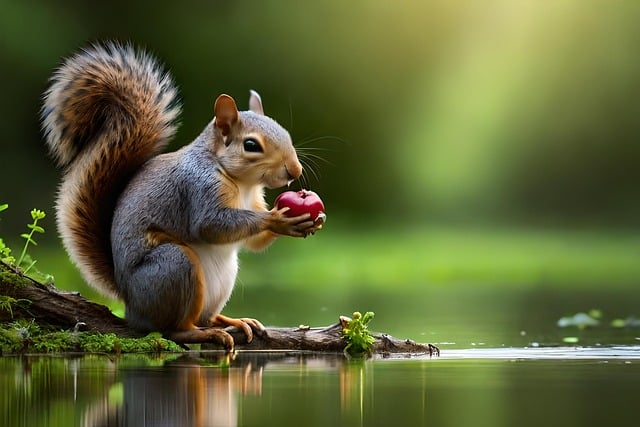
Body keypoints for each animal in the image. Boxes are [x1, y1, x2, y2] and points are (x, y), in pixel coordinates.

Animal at [42, 42, 322, 352]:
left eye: (284, 131)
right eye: (251, 145)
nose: (295, 170)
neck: (244, 184)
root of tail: (130, 305)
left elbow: (253, 242)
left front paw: (308, 221)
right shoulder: (199, 188)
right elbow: (211, 226)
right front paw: (278, 220)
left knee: (204, 316)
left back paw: (231, 321)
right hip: (174, 267)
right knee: (173, 330)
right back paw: (203, 334)